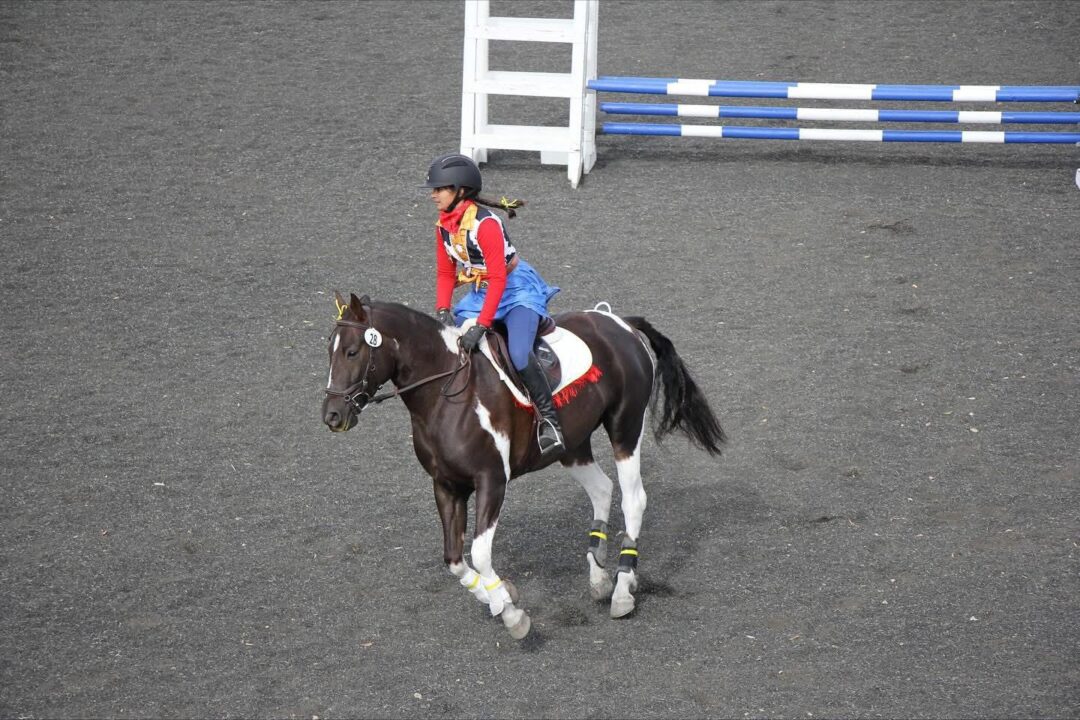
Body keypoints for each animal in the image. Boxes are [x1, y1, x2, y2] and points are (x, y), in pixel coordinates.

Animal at [322, 292, 725, 639]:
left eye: (353, 351)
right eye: (329, 351)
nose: (332, 415)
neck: (445, 395)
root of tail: (619, 322)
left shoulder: (491, 480)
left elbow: (480, 553)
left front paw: (513, 615)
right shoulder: (446, 485)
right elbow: (454, 559)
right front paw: (500, 595)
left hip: (625, 427)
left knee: (633, 499)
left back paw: (623, 589)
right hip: (571, 445)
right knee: (602, 489)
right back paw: (598, 576)